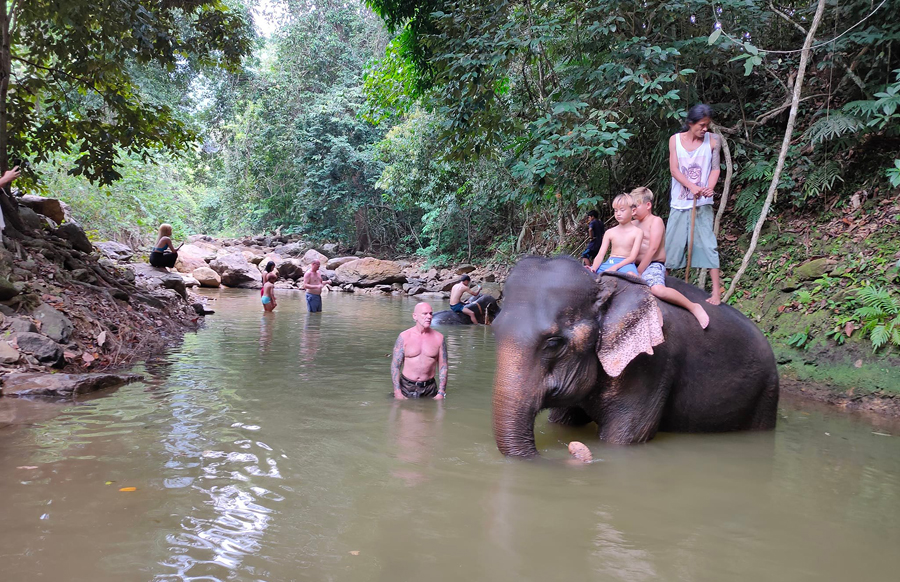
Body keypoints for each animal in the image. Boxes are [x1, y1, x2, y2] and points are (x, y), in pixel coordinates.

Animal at [488, 258, 776, 458]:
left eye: (554, 343)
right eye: (494, 330)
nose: (573, 452)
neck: (604, 284)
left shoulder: (652, 364)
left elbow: (624, 437)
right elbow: (562, 421)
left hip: (765, 394)